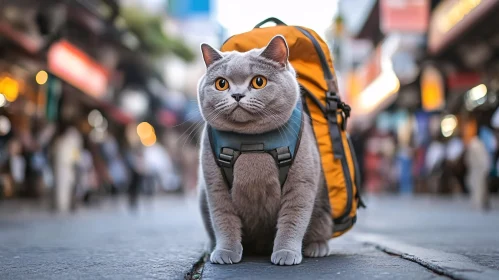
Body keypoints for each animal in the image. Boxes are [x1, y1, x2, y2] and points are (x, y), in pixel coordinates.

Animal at [197, 36, 334, 266]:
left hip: (323, 206)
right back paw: (210, 247)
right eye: (221, 83)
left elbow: (292, 220)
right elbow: (223, 219)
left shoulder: (301, 183)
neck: (252, 142)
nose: (237, 95)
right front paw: (225, 251)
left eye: (258, 82)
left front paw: (286, 253)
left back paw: (317, 247)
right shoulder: (215, 185)